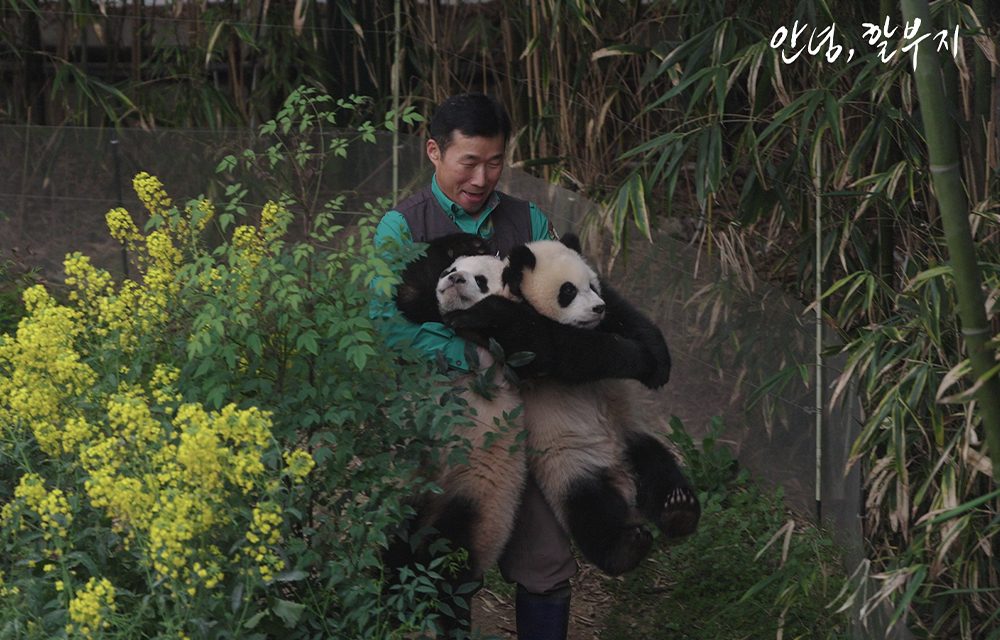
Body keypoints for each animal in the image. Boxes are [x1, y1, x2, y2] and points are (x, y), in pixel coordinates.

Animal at [442, 234, 700, 576]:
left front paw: (656, 365)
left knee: (658, 466)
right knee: (590, 511)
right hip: (569, 467)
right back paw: (625, 547)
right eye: (568, 291)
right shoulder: (511, 346)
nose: (596, 307)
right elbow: (555, 349)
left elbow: (628, 316)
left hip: (631, 434)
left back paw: (679, 509)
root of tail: (621, 479)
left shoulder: (610, 308)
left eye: (591, 285)